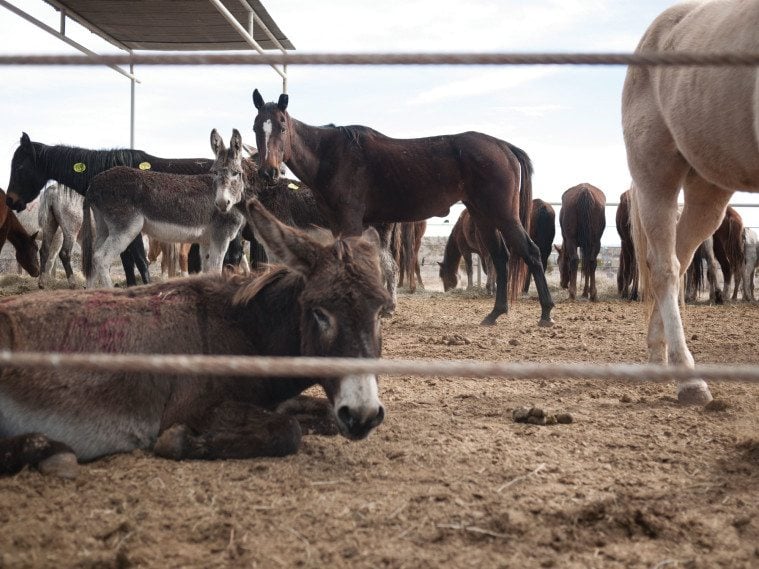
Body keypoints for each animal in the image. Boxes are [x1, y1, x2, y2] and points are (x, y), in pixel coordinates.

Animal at [0, 197, 392, 478]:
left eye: (382, 311)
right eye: (319, 312)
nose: (363, 415)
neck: (243, 330)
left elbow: (320, 413)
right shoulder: (191, 408)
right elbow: (288, 431)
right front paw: (180, 442)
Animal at [84, 130, 248, 286]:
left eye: (236, 173)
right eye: (214, 172)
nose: (222, 204)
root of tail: (94, 182)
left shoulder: (206, 240)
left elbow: (207, 270)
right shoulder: (221, 237)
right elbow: (216, 269)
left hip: (103, 227)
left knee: (93, 258)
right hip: (126, 229)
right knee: (101, 258)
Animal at [252, 90, 556, 326]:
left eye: (282, 127)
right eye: (256, 128)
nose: (269, 172)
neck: (332, 155)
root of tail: (502, 146)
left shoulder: (351, 222)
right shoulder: (339, 224)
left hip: (502, 214)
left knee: (530, 252)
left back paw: (546, 313)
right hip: (483, 215)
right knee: (501, 257)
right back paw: (495, 313)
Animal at [624, 0, 759, 404]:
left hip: (707, 189)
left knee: (679, 260)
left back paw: (659, 357)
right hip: (657, 176)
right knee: (665, 268)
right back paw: (689, 379)